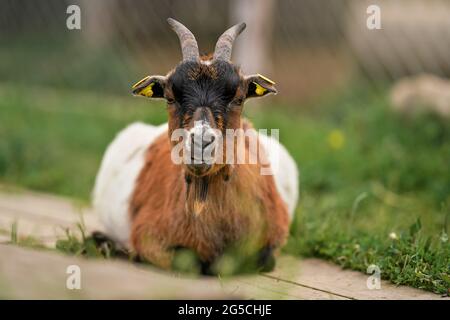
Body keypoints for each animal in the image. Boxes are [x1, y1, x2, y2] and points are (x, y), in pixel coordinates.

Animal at [93, 18, 298, 272]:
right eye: (170, 97)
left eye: (239, 98)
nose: (201, 143)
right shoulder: (148, 236)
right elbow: (188, 262)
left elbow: (261, 259)